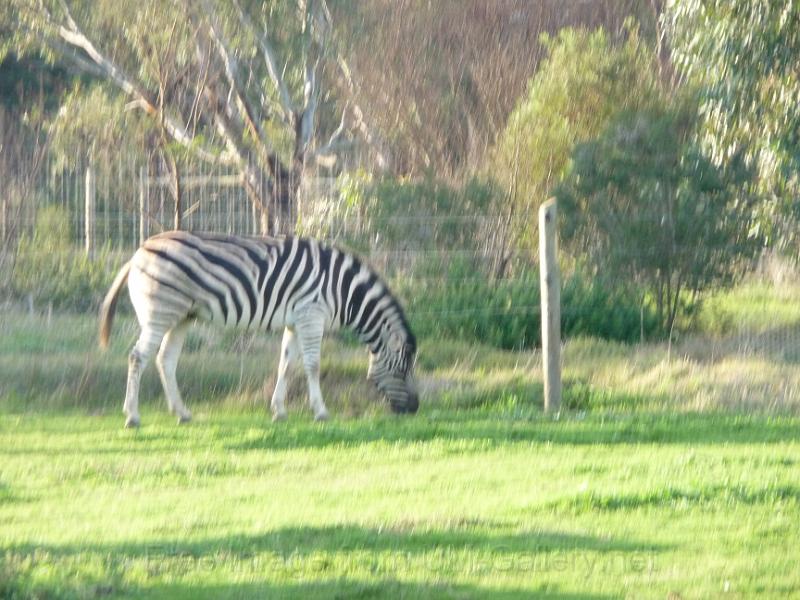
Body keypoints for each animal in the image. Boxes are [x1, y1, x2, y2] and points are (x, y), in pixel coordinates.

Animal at [99, 231, 418, 427]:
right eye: (402, 371)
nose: (415, 409)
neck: (344, 290)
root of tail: (138, 252)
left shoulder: (295, 321)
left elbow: (286, 366)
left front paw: (279, 411)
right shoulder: (311, 315)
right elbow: (313, 366)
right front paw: (321, 412)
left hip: (181, 317)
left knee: (165, 360)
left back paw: (182, 413)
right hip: (160, 313)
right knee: (138, 357)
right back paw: (132, 417)